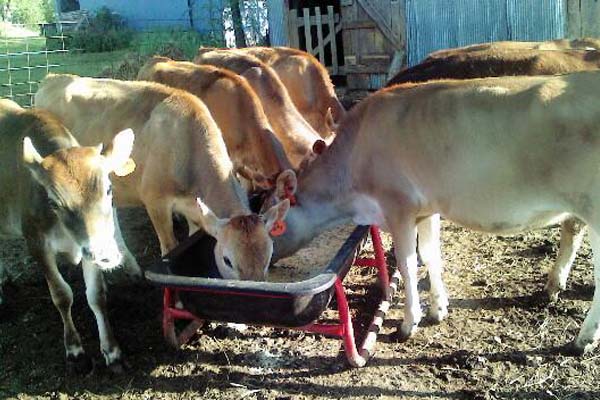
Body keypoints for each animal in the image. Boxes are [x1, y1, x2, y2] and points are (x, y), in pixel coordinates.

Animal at [0, 99, 135, 372]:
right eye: (54, 203)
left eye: (108, 189)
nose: (106, 255)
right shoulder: (37, 244)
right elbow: (62, 295)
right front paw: (75, 350)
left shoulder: (88, 249)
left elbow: (96, 295)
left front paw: (112, 351)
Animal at [35, 75, 290, 282]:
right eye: (228, 260)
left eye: (269, 255)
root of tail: (51, 78)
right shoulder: (155, 201)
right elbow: (169, 247)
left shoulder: (194, 209)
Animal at [276, 71, 600, 354]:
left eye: (271, 225)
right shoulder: (427, 209)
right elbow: (431, 256)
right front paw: (438, 309)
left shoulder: (398, 208)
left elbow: (407, 265)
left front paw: (409, 323)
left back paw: (582, 340)